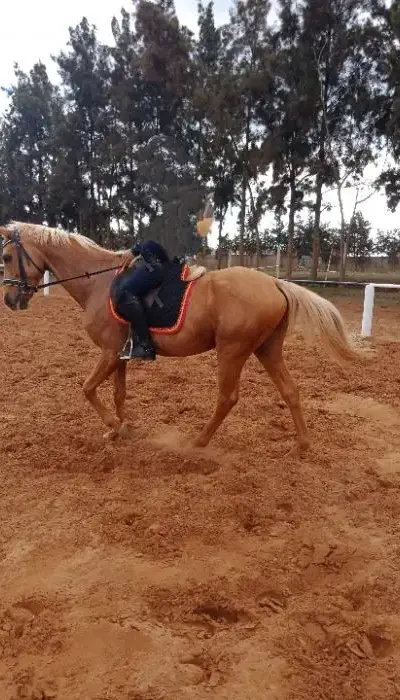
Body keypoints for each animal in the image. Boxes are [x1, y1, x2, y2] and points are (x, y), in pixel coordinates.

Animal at [0, 220, 359, 455]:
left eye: (5, 258)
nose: (10, 300)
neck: (98, 283)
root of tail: (275, 283)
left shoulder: (109, 352)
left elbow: (87, 389)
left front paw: (113, 427)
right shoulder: (120, 353)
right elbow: (118, 394)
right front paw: (122, 429)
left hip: (232, 350)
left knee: (227, 398)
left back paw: (198, 442)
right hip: (266, 349)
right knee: (290, 390)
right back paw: (302, 445)